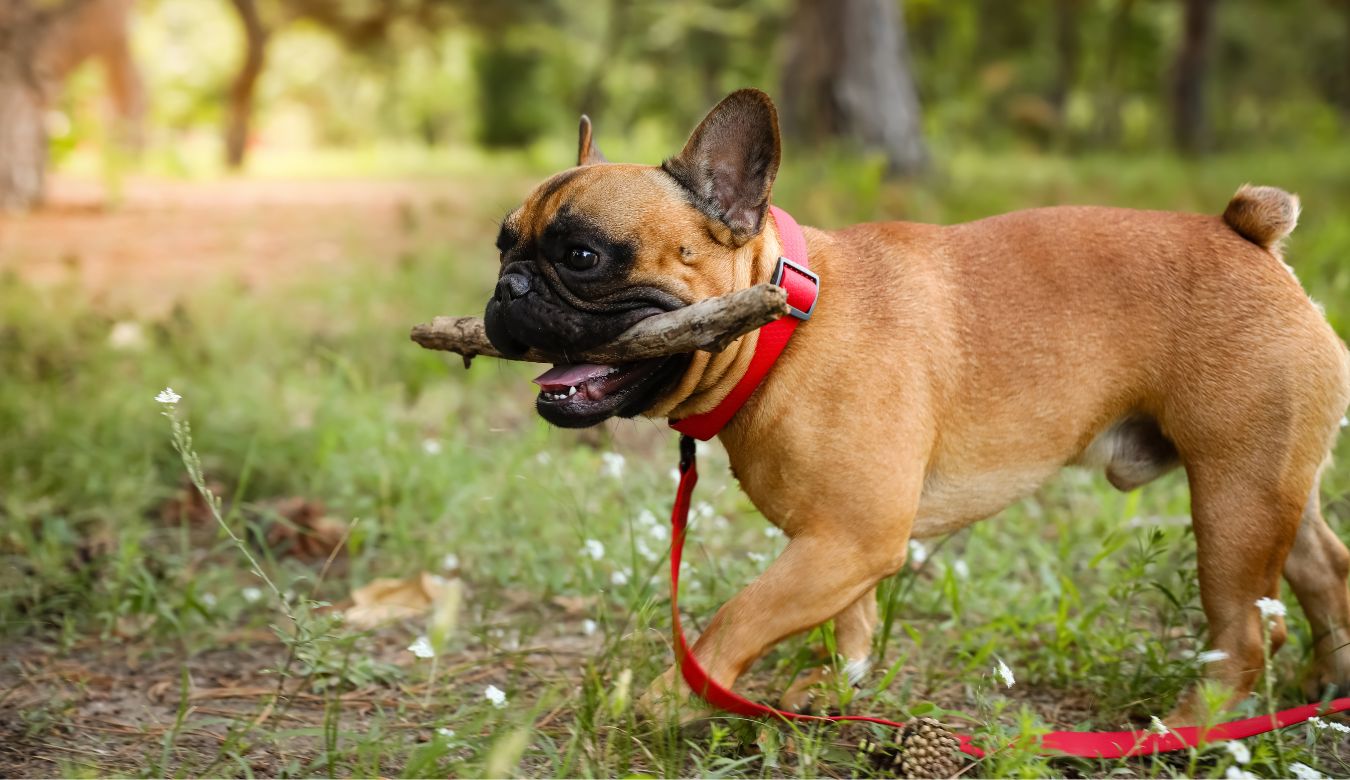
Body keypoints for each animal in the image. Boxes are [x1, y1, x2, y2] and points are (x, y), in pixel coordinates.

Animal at [480, 87, 1344, 717]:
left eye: (582, 256)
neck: (785, 329)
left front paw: (666, 703)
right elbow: (851, 620)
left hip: (1231, 504)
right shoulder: (840, 545)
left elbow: (737, 619)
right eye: (502, 243)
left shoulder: (850, 538)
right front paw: (841, 682)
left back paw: (1188, 725)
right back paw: (1323, 684)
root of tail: (1250, 237)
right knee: (1322, 570)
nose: (507, 288)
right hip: (1269, 484)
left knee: (1245, 634)